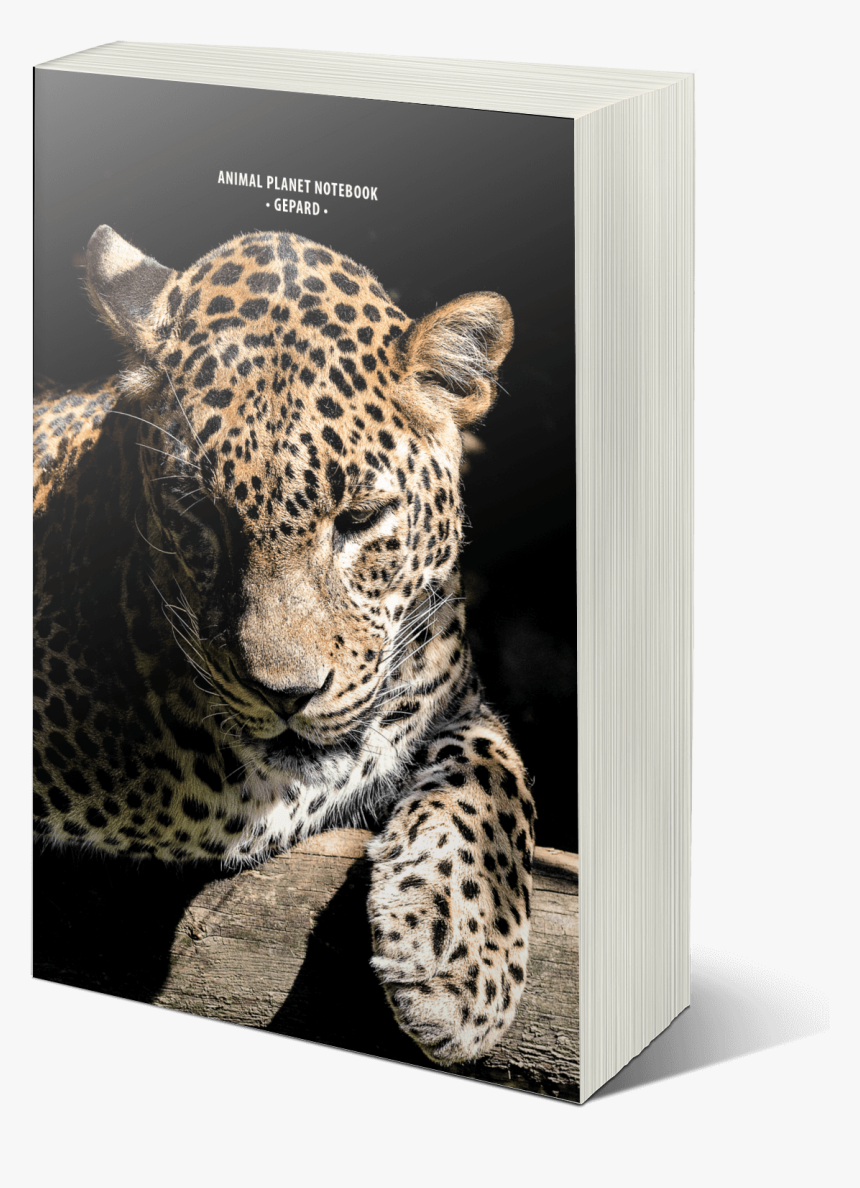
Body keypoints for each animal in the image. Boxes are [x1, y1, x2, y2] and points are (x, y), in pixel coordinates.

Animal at [33, 225, 536, 1066]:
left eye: (361, 518)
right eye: (200, 515)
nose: (286, 694)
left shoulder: (453, 692)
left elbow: (498, 775)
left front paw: (460, 956)